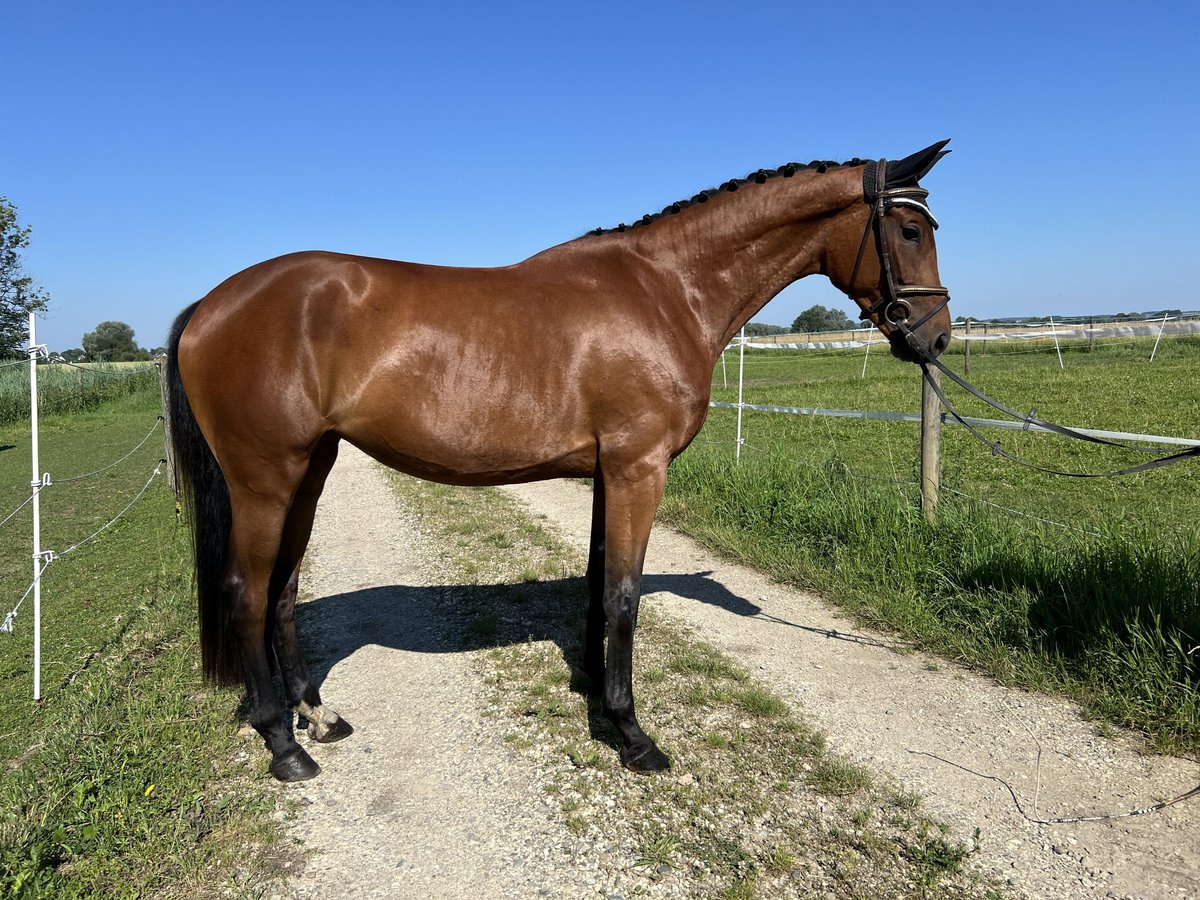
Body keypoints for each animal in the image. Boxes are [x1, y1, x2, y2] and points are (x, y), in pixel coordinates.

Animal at [169, 139, 955, 782]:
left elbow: (597, 584)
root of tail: (210, 304)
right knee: (246, 592)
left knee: (283, 591)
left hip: (310, 470)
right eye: (911, 230)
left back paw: (318, 716)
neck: (667, 291)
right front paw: (634, 735)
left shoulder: (611, 472)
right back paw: (283, 745)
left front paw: (594, 692)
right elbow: (625, 594)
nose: (937, 337)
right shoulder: (640, 469)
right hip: (266, 479)